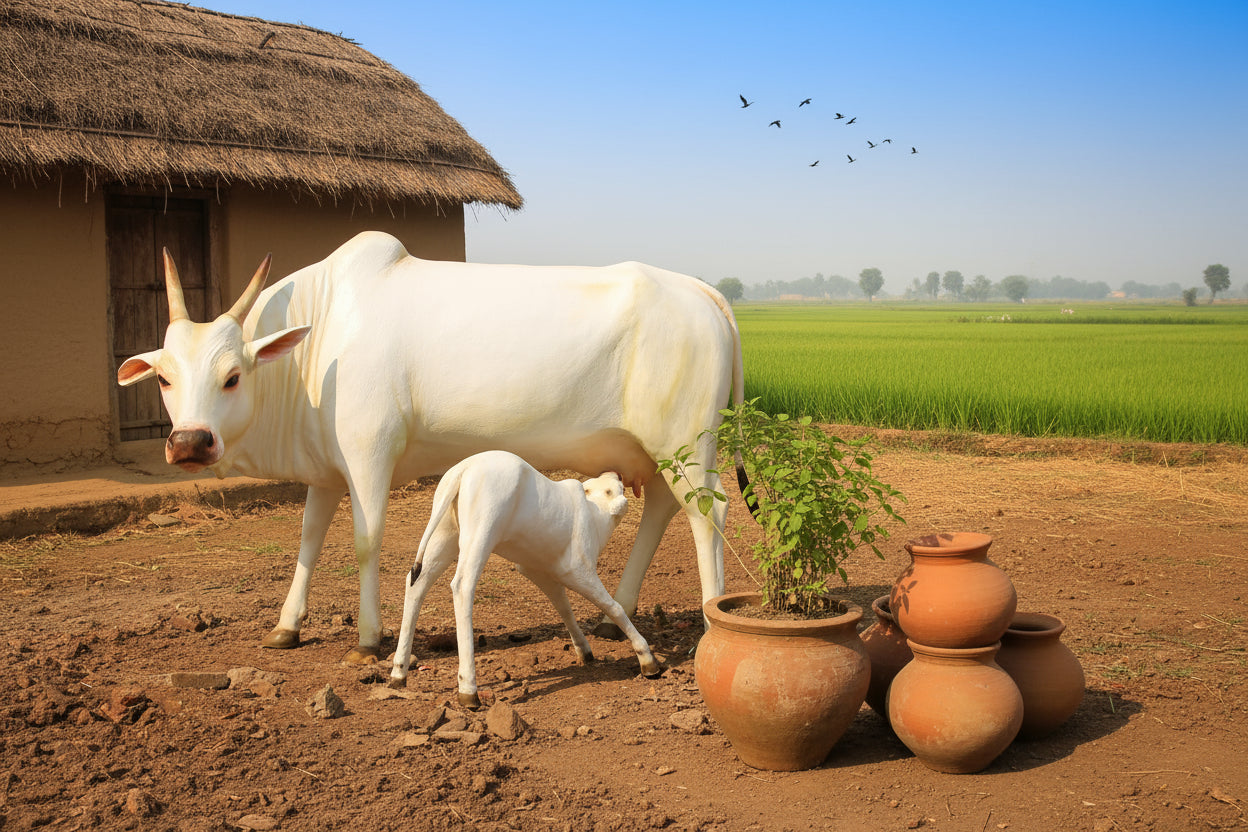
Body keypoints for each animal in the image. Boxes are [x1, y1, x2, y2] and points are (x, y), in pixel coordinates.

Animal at [117, 231, 743, 665]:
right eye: (165, 378)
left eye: (231, 377)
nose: (190, 442)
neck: (319, 339)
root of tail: (701, 290)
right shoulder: (325, 471)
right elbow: (309, 541)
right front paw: (286, 626)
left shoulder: (370, 456)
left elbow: (365, 543)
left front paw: (369, 639)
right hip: (659, 454)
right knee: (661, 509)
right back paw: (619, 616)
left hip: (688, 445)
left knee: (707, 515)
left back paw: (710, 622)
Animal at [389, 451, 663, 707]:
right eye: (611, 490)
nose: (616, 473)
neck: (595, 515)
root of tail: (462, 470)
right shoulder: (579, 570)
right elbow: (613, 607)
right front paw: (647, 660)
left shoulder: (541, 572)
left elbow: (564, 608)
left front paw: (585, 651)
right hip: (481, 533)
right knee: (462, 585)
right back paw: (468, 689)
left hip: (445, 534)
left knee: (416, 582)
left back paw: (399, 672)